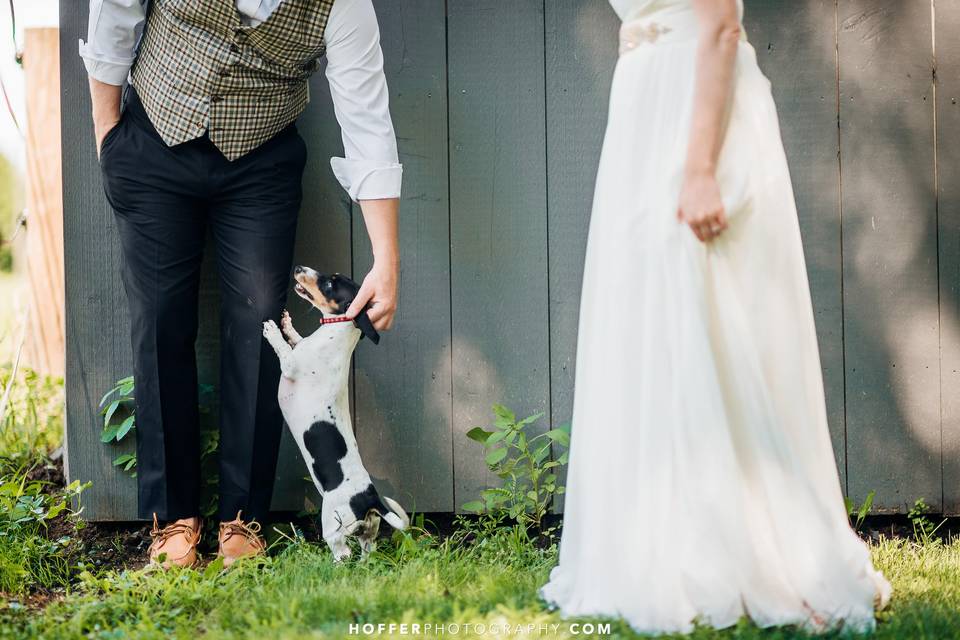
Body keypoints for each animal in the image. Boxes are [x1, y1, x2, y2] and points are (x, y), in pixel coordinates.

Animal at [262, 264, 408, 560]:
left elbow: (283, 349)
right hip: (369, 531)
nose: (299, 268)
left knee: (343, 554)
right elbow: (295, 339)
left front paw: (272, 330)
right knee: (368, 550)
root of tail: (369, 497)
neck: (335, 334)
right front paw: (287, 324)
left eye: (330, 284)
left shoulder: (291, 365)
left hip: (333, 525)